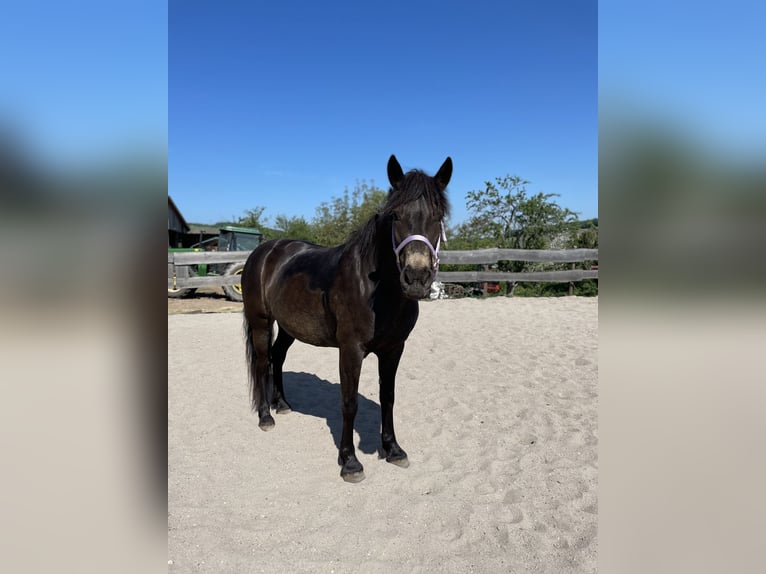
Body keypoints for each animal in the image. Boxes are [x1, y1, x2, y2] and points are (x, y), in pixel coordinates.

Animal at [243, 155, 452, 484]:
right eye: (395, 215)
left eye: (438, 215)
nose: (416, 278)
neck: (376, 290)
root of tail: (264, 252)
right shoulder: (350, 350)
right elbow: (349, 402)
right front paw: (350, 462)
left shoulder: (394, 350)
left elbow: (388, 397)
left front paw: (393, 450)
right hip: (261, 322)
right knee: (263, 362)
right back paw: (266, 416)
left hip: (289, 326)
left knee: (278, 357)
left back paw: (283, 405)